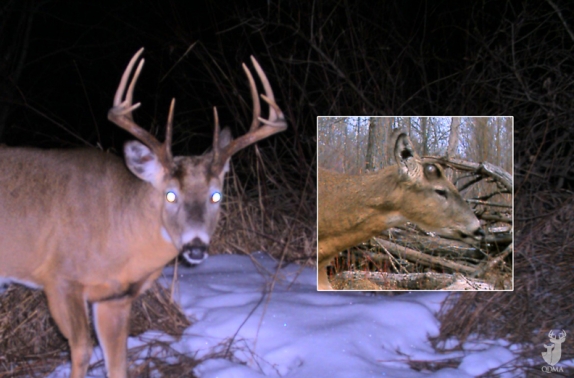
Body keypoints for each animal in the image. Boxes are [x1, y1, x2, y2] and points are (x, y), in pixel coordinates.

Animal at [0, 48, 288, 378]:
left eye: (216, 195)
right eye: (170, 194)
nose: (196, 247)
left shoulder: (116, 298)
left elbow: (118, 362)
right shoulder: (59, 278)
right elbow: (81, 351)